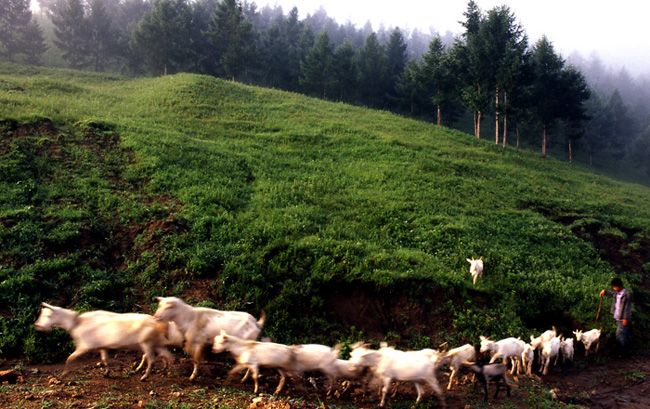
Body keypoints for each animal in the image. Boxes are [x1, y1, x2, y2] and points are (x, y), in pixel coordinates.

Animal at [34, 302, 171, 380]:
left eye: (48, 316)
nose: (37, 326)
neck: (77, 323)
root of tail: (155, 321)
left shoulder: (84, 346)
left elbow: (69, 358)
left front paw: (63, 374)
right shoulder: (102, 346)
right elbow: (104, 359)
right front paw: (106, 373)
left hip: (146, 343)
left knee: (152, 360)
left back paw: (145, 376)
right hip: (153, 343)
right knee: (164, 354)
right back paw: (164, 367)